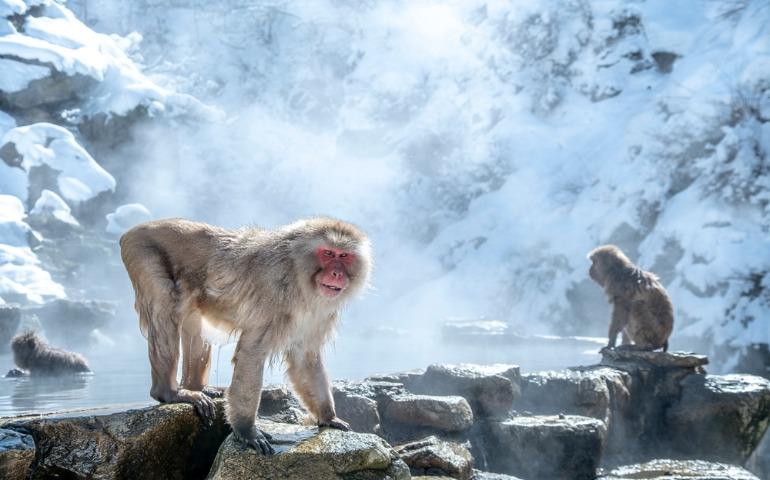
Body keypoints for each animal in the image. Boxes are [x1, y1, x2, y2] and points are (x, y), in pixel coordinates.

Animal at [120, 217, 371, 454]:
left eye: (345, 256)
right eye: (328, 253)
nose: (337, 273)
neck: (299, 275)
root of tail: (132, 230)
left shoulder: (319, 314)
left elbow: (305, 359)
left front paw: (328, 417)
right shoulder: (272, 293)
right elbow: (252, 354)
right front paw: (246, 430)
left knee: (192, 316)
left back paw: (197, 387)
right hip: (142, 251)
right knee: (166, 306)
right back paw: (169, 393)